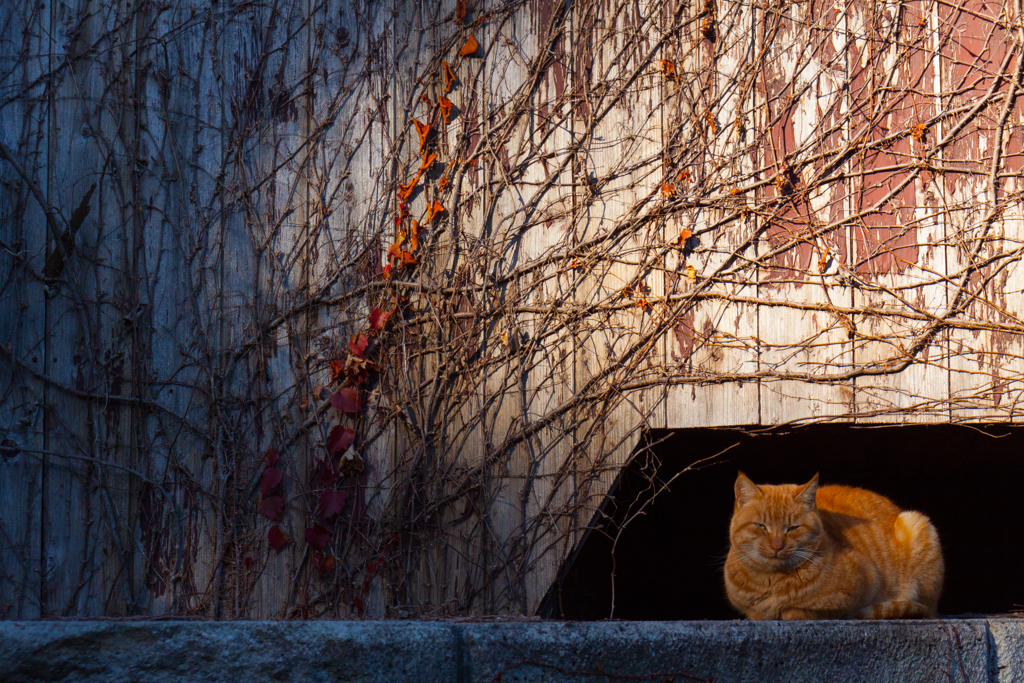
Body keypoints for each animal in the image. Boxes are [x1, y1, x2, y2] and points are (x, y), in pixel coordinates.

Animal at [729, 475, 942, 618]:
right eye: (761, 526)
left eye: (792, 528)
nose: (776, 546)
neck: (772, 582)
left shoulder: (861, 588)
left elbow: (801, 610)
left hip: (917, 523)